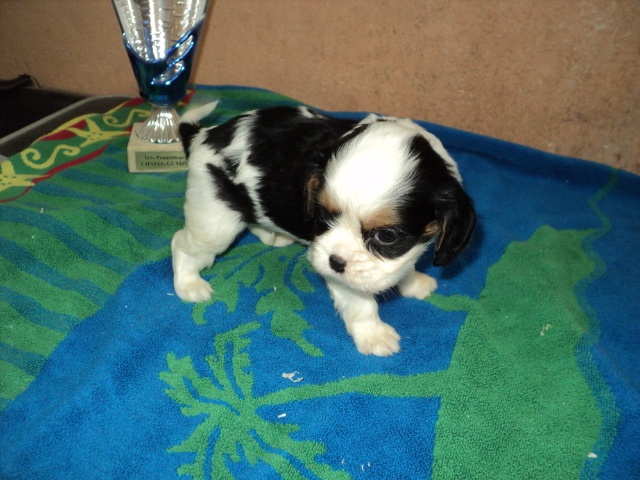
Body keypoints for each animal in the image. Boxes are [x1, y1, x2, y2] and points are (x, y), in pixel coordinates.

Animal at [171, 102, 476, 356]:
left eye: (386, 236)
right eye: (323, 214)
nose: (335, 262)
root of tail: (205, 135)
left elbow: (406, 266)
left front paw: (413, 283)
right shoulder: (345, 278)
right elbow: (361, 304)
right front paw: (373, 335)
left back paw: (273, 235)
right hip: (215, 219)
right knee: (182, 244)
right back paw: (189, 284)